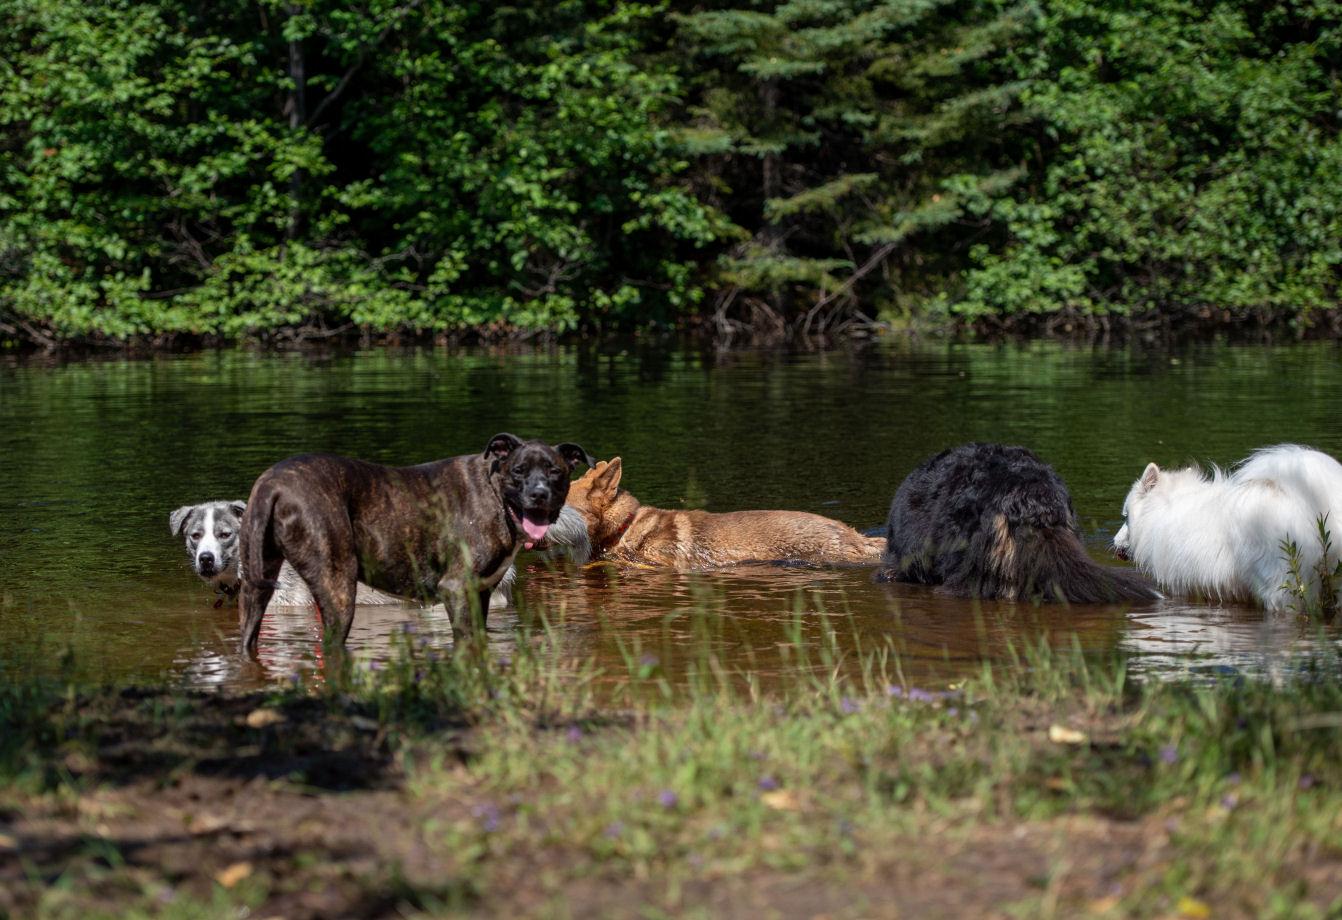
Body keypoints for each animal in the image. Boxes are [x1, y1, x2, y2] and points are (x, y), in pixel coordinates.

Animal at [237, 437, 593, 651]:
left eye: (555, 472)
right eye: (518, 471)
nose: (539, 495)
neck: (495, 495)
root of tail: (273, 486)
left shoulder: (480, 593)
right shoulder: (456, 589)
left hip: (255, 592)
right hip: (338, 588)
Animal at [1111, 447, 1342, 611]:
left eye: (1125, 518)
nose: (1114, 541)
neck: (1164, 505)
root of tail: (1308, 503)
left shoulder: (1180, 581)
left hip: (1279, 584)